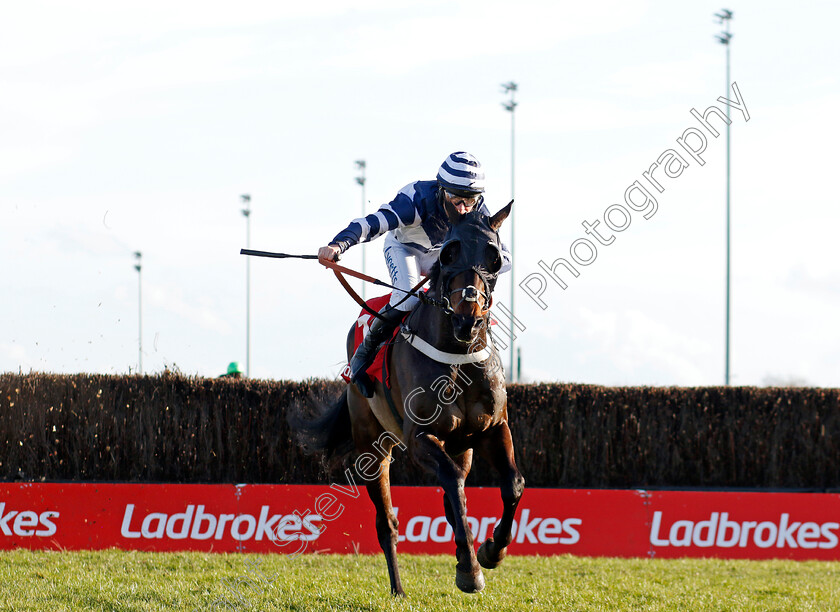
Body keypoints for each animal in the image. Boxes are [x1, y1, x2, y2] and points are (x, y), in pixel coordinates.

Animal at [290, 202, 524, 596]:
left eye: (494, 257)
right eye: (449, 252)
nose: (468, 320)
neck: (456, 355)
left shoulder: (493, 428)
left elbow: (511, 485)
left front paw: (492, 550)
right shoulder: (419, 438)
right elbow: (453, 485)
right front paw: (470, 569)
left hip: (462, 446)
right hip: (373, 448)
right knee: (388, 523)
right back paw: (398, 589)